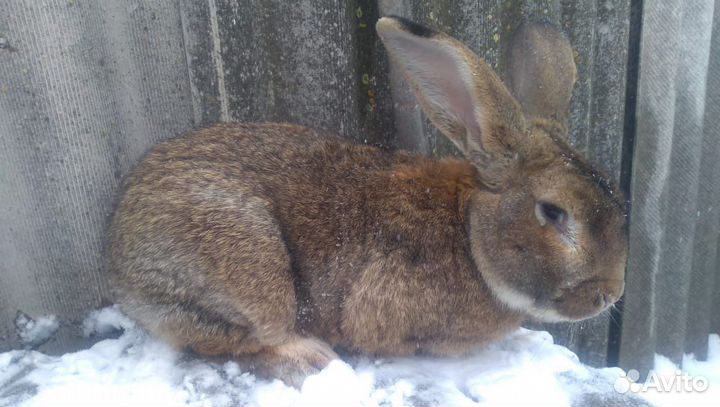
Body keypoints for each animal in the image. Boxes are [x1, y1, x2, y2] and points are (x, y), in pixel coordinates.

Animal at [107, 16, 628, 387]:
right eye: (554, 212)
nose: (609, 294)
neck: (469, 231)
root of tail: (119, 255)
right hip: (248, 269)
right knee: (228, 340)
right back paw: (310, 358)